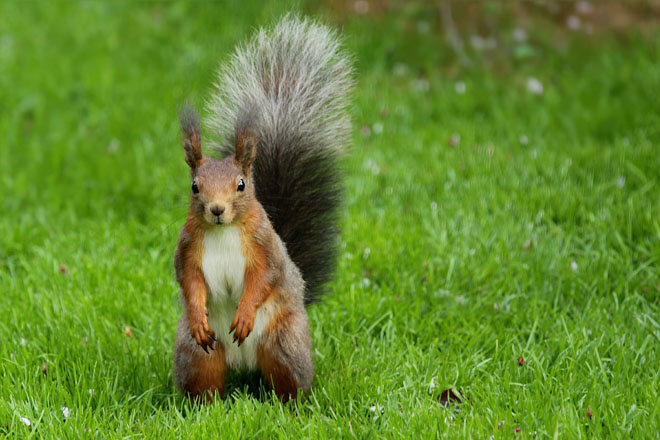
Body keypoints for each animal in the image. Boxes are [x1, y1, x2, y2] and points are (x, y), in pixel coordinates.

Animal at [173, 16, 354, 402]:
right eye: (195, 186)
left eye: (241, 185)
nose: (216, 209)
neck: (224, 231)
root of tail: (243, 363)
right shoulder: (187, 248)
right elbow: (189, 280)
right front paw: (197, 314)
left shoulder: (265, 247)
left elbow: (264, 279)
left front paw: (243, 314)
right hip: (198, 355)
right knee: (206, 382)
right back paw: (202, 407)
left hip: (284, 342)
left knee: (288, 382)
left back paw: (289, 404)